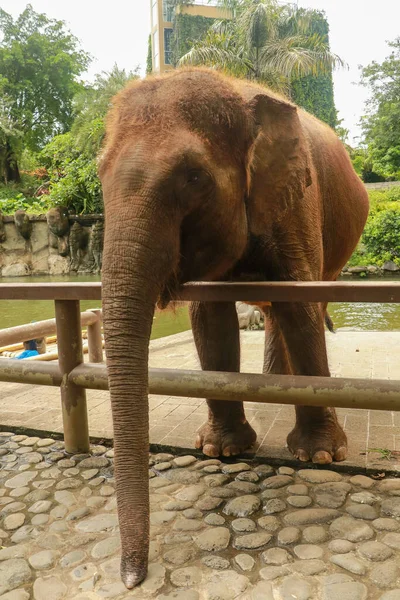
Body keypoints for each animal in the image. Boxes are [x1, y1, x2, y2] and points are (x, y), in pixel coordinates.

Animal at [97, 69, 368, 584]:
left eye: (193, 177)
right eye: (99, 172)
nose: (131, 578)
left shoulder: (295, 199)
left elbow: (300, 305)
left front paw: (321, 456)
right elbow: (210, 316)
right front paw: (220, 450)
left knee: (303, 303)